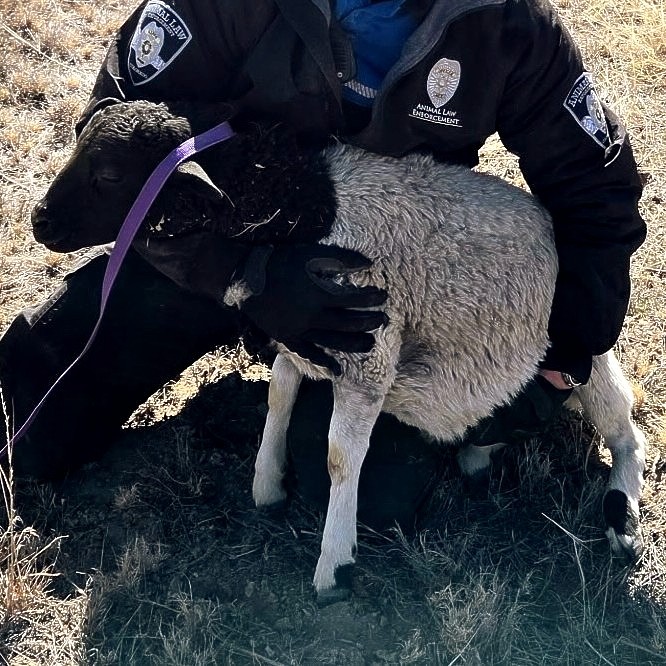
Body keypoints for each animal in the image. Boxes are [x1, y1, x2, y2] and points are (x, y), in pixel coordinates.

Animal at [32, 100, 646, 603]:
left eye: (109, 175)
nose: (40, 222)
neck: (296, 203)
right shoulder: (301, 325)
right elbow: (279, 398)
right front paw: (266, 484)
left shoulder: (368, 351)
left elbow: (338, 457)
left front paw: (334, 564)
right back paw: (480, 449)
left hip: (585, 357)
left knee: (625, 431)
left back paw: (621, 516)